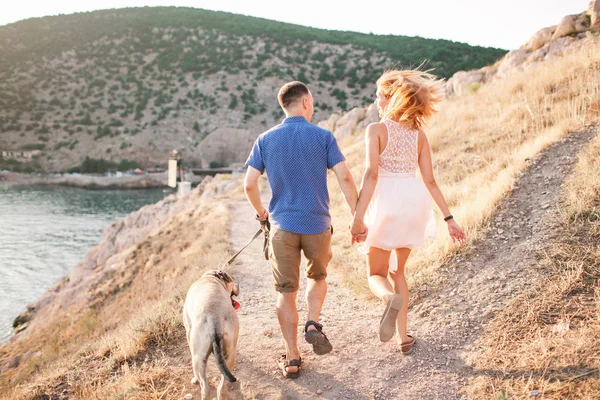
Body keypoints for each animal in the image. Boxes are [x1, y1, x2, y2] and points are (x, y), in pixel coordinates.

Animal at [183, 270, 239, 398]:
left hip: (197, 359)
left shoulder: (188, 331)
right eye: (232, 280)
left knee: (205, 386)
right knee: (220, 388)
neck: (212, 278)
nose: (238, 285)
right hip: (228, 355)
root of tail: (215, 318)